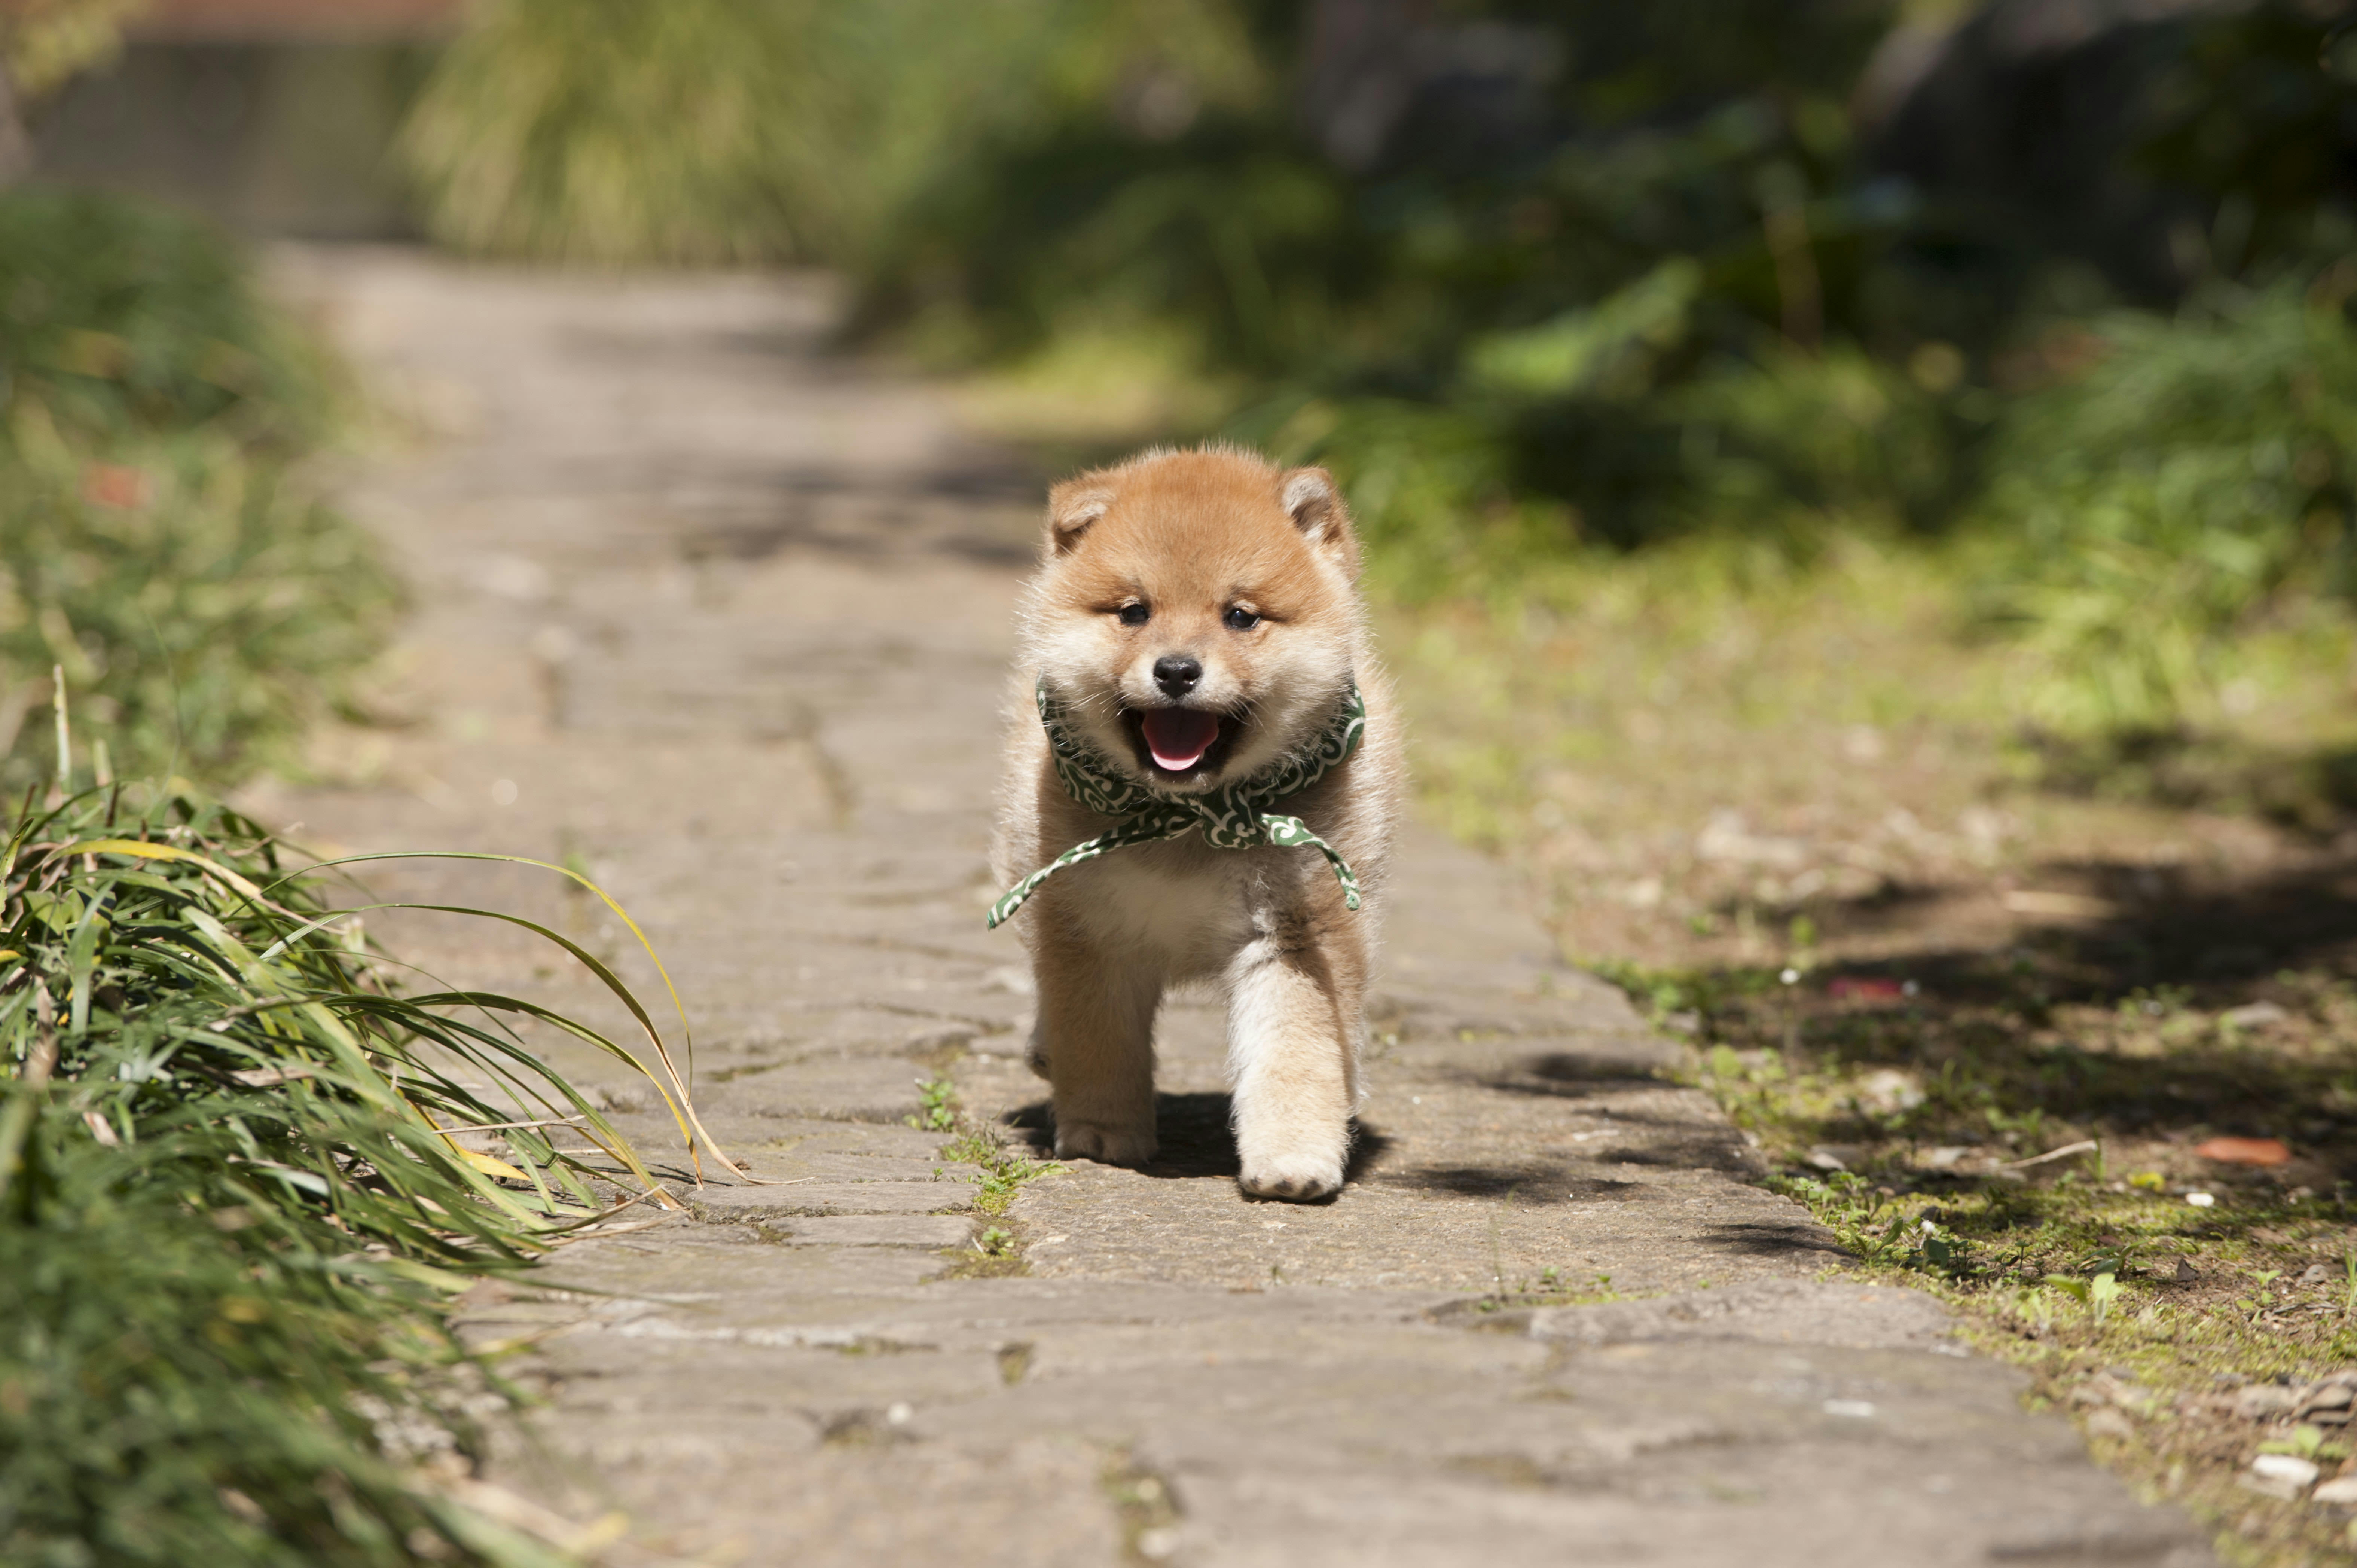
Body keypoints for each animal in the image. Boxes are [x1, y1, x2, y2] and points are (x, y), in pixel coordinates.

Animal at [990, 446, 1395, 1202]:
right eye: (1133, 612)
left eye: (1239, 617)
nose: (1176, 669)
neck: (1189, 820)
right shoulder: (1088, 926)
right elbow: (1096, 1043)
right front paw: (1101, 1133)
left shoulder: (1298, 935)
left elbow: (1295, 1052)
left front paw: (1294, 1156)